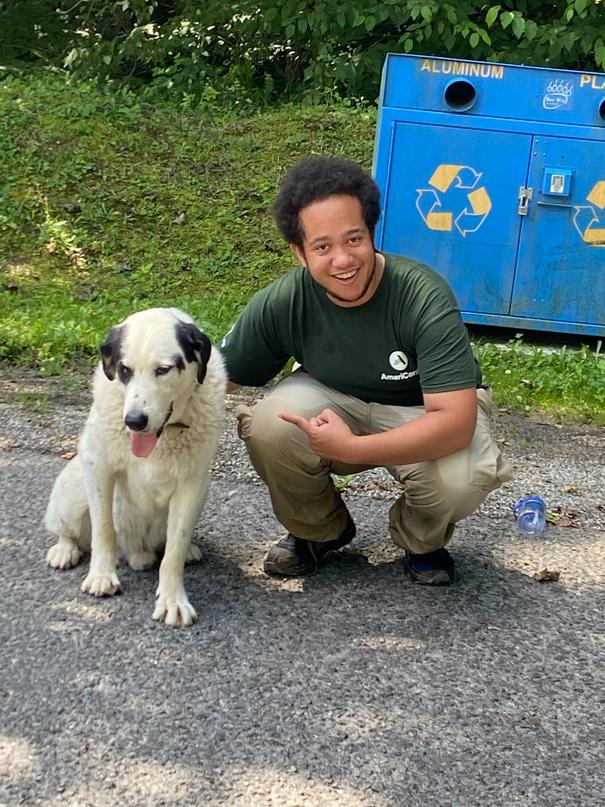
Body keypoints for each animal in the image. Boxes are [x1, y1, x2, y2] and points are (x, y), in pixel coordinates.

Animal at [45, 307, 226, 627]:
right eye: (124, 370)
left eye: (163, 370)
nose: (134, 421)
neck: (164, 435)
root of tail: (135, 551)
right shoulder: (99, 467)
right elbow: (103, 529)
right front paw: (102, 576)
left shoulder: (193, 483)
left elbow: (174, 549)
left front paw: (172, 600)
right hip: (74, 485)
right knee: (68, 529)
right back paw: (64, 550)